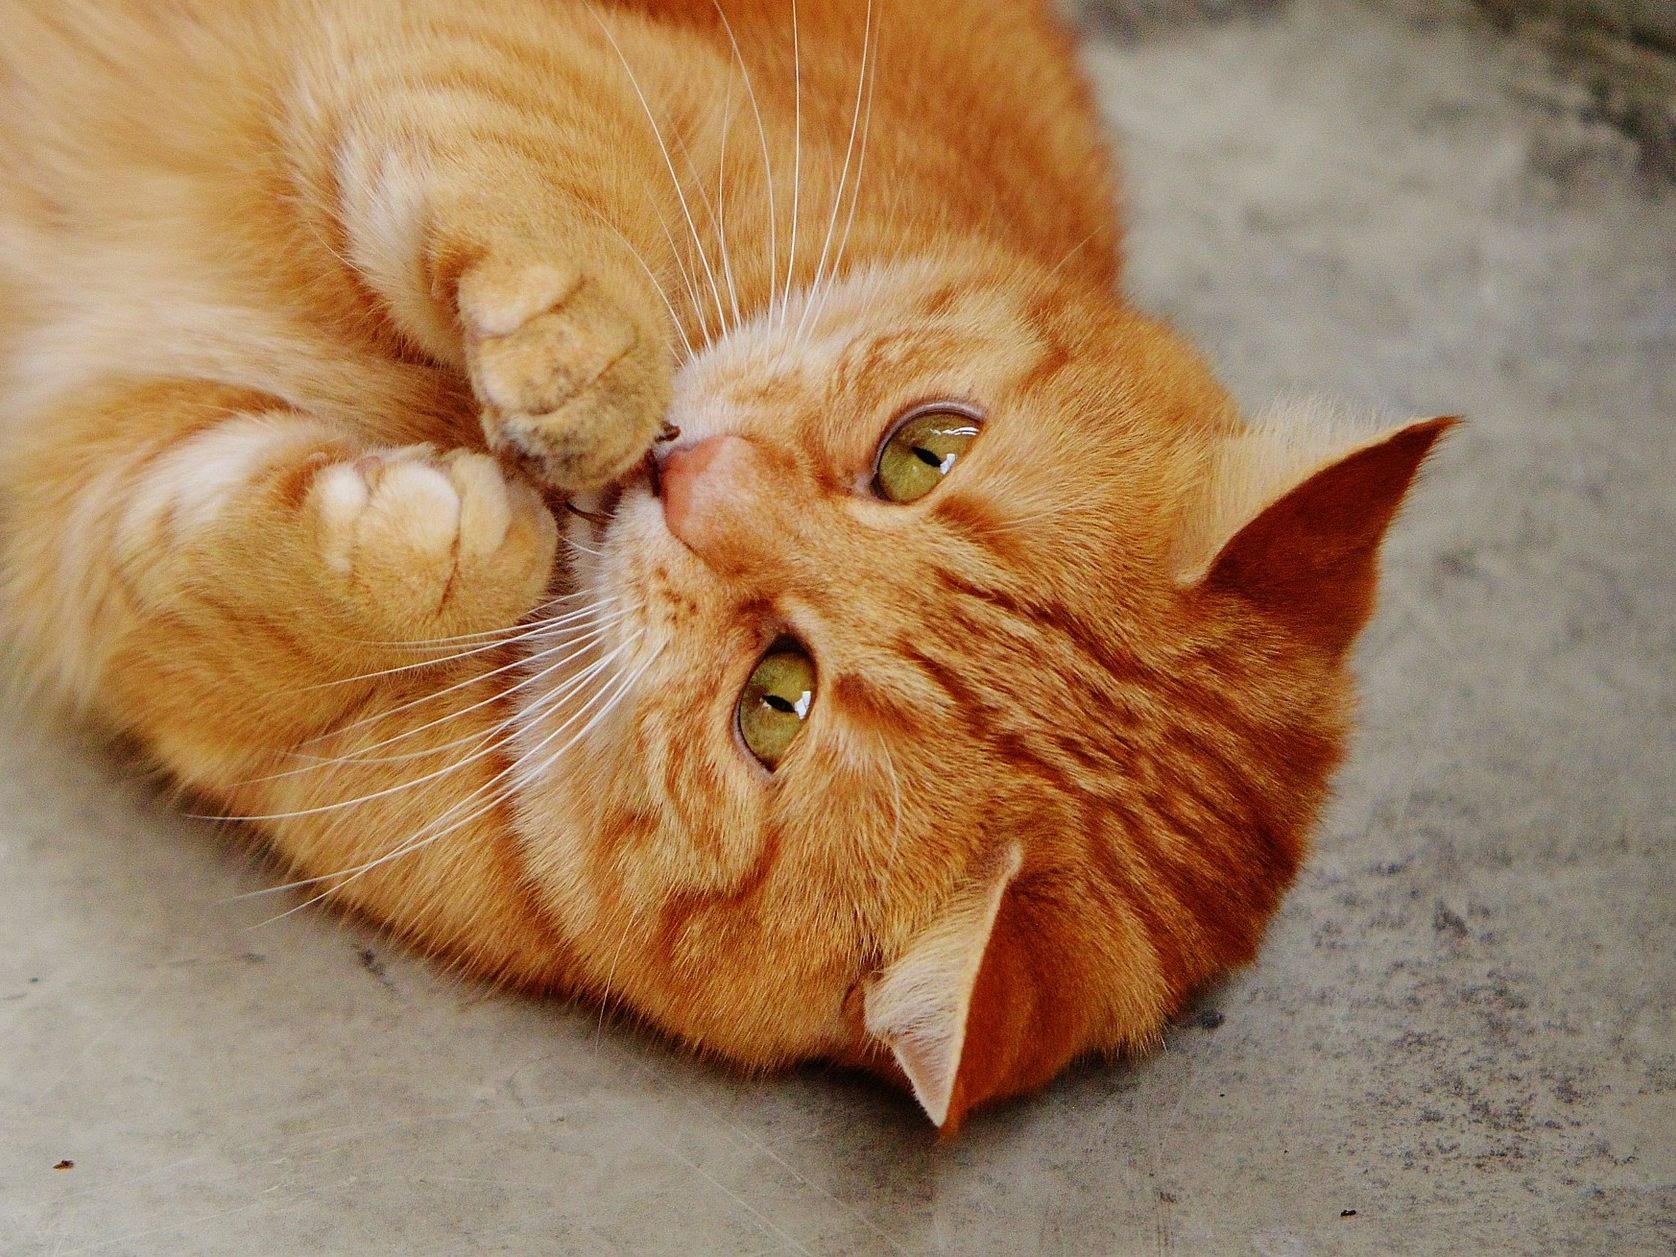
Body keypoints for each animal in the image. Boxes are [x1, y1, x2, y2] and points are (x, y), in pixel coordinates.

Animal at [0, 0, 1441, 1132]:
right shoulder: (496, 61)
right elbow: (536, 193)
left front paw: (480, 525)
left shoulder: (156, 584)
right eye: (922, 453)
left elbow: (262, 568)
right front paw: (579, 386)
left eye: (776, 701)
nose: (678, 478)